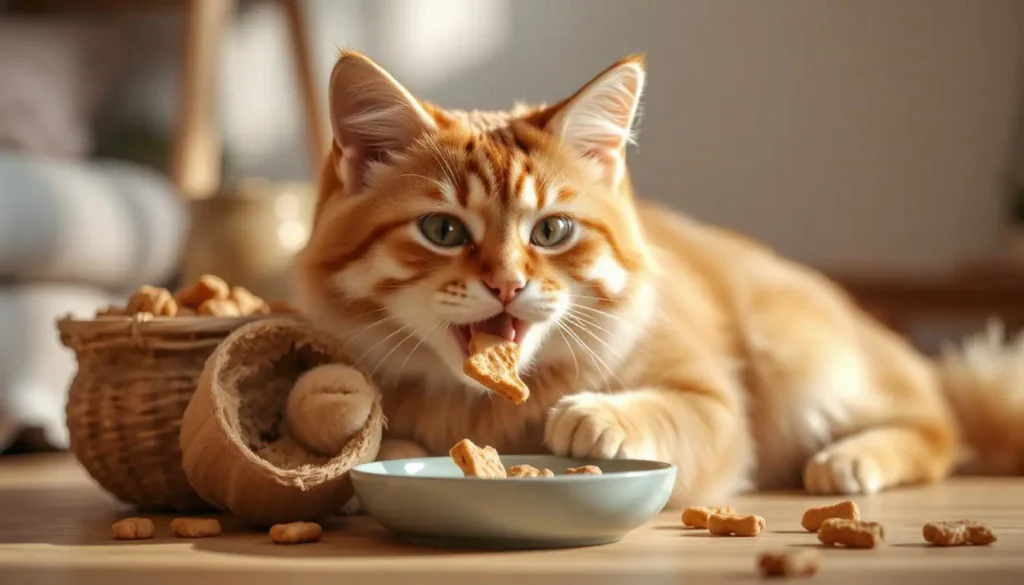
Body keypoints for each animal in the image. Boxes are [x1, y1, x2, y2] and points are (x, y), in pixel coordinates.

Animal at [296, 50, 1024, 506]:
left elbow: (673, 411)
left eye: (551, 232)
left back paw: (849, 459)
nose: (507, 285)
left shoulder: (719, 406)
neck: (490, 403)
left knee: (941, 429)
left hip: (803, 362)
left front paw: (594, 416)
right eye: (443, 231)